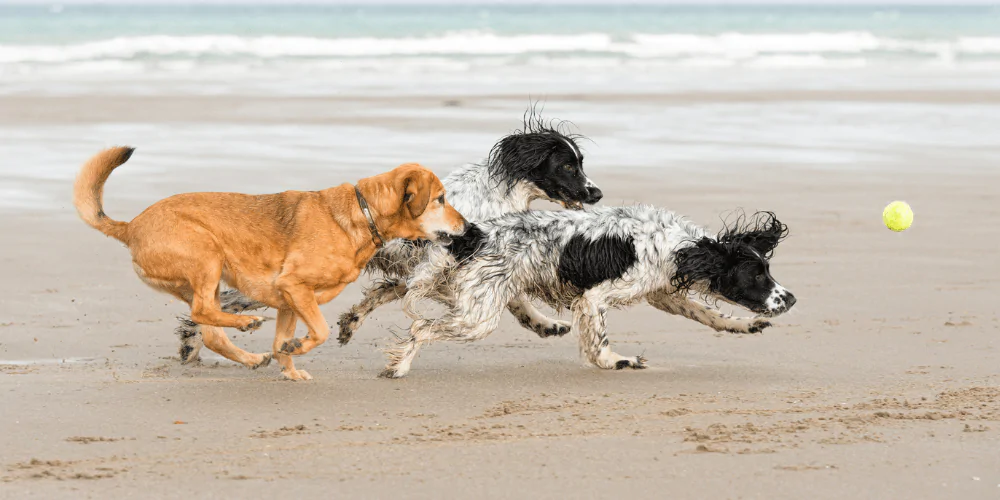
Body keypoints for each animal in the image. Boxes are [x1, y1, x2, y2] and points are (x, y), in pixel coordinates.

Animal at [75, 146, 468, 380]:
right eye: (440, 199)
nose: (467, 227)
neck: (363, 212)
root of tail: (130, 227)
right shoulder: (294, 288)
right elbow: (319, 332)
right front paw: (296, 351)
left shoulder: (288, 302)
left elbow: (284, 340)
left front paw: (289, 369)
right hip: (207, 256)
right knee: (204, 312)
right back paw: (246, 322)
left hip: (204, 278)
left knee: (211, 332)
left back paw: (251, 358)